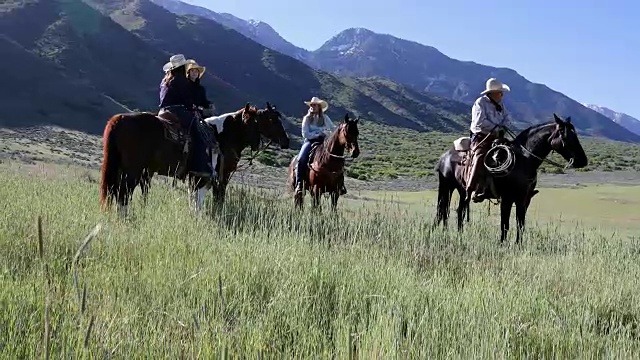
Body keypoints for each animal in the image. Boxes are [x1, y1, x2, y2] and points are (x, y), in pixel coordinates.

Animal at [99, 103, 256, 217]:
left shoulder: (196, 177)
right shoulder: (209, 176)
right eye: (255, 121)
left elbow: (193, 197)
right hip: (132, 171)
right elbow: (203, 198)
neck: (218, 135)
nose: (258, 144)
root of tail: (118, 119)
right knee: (123, 193)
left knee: (114, 191)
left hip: (119, 169)